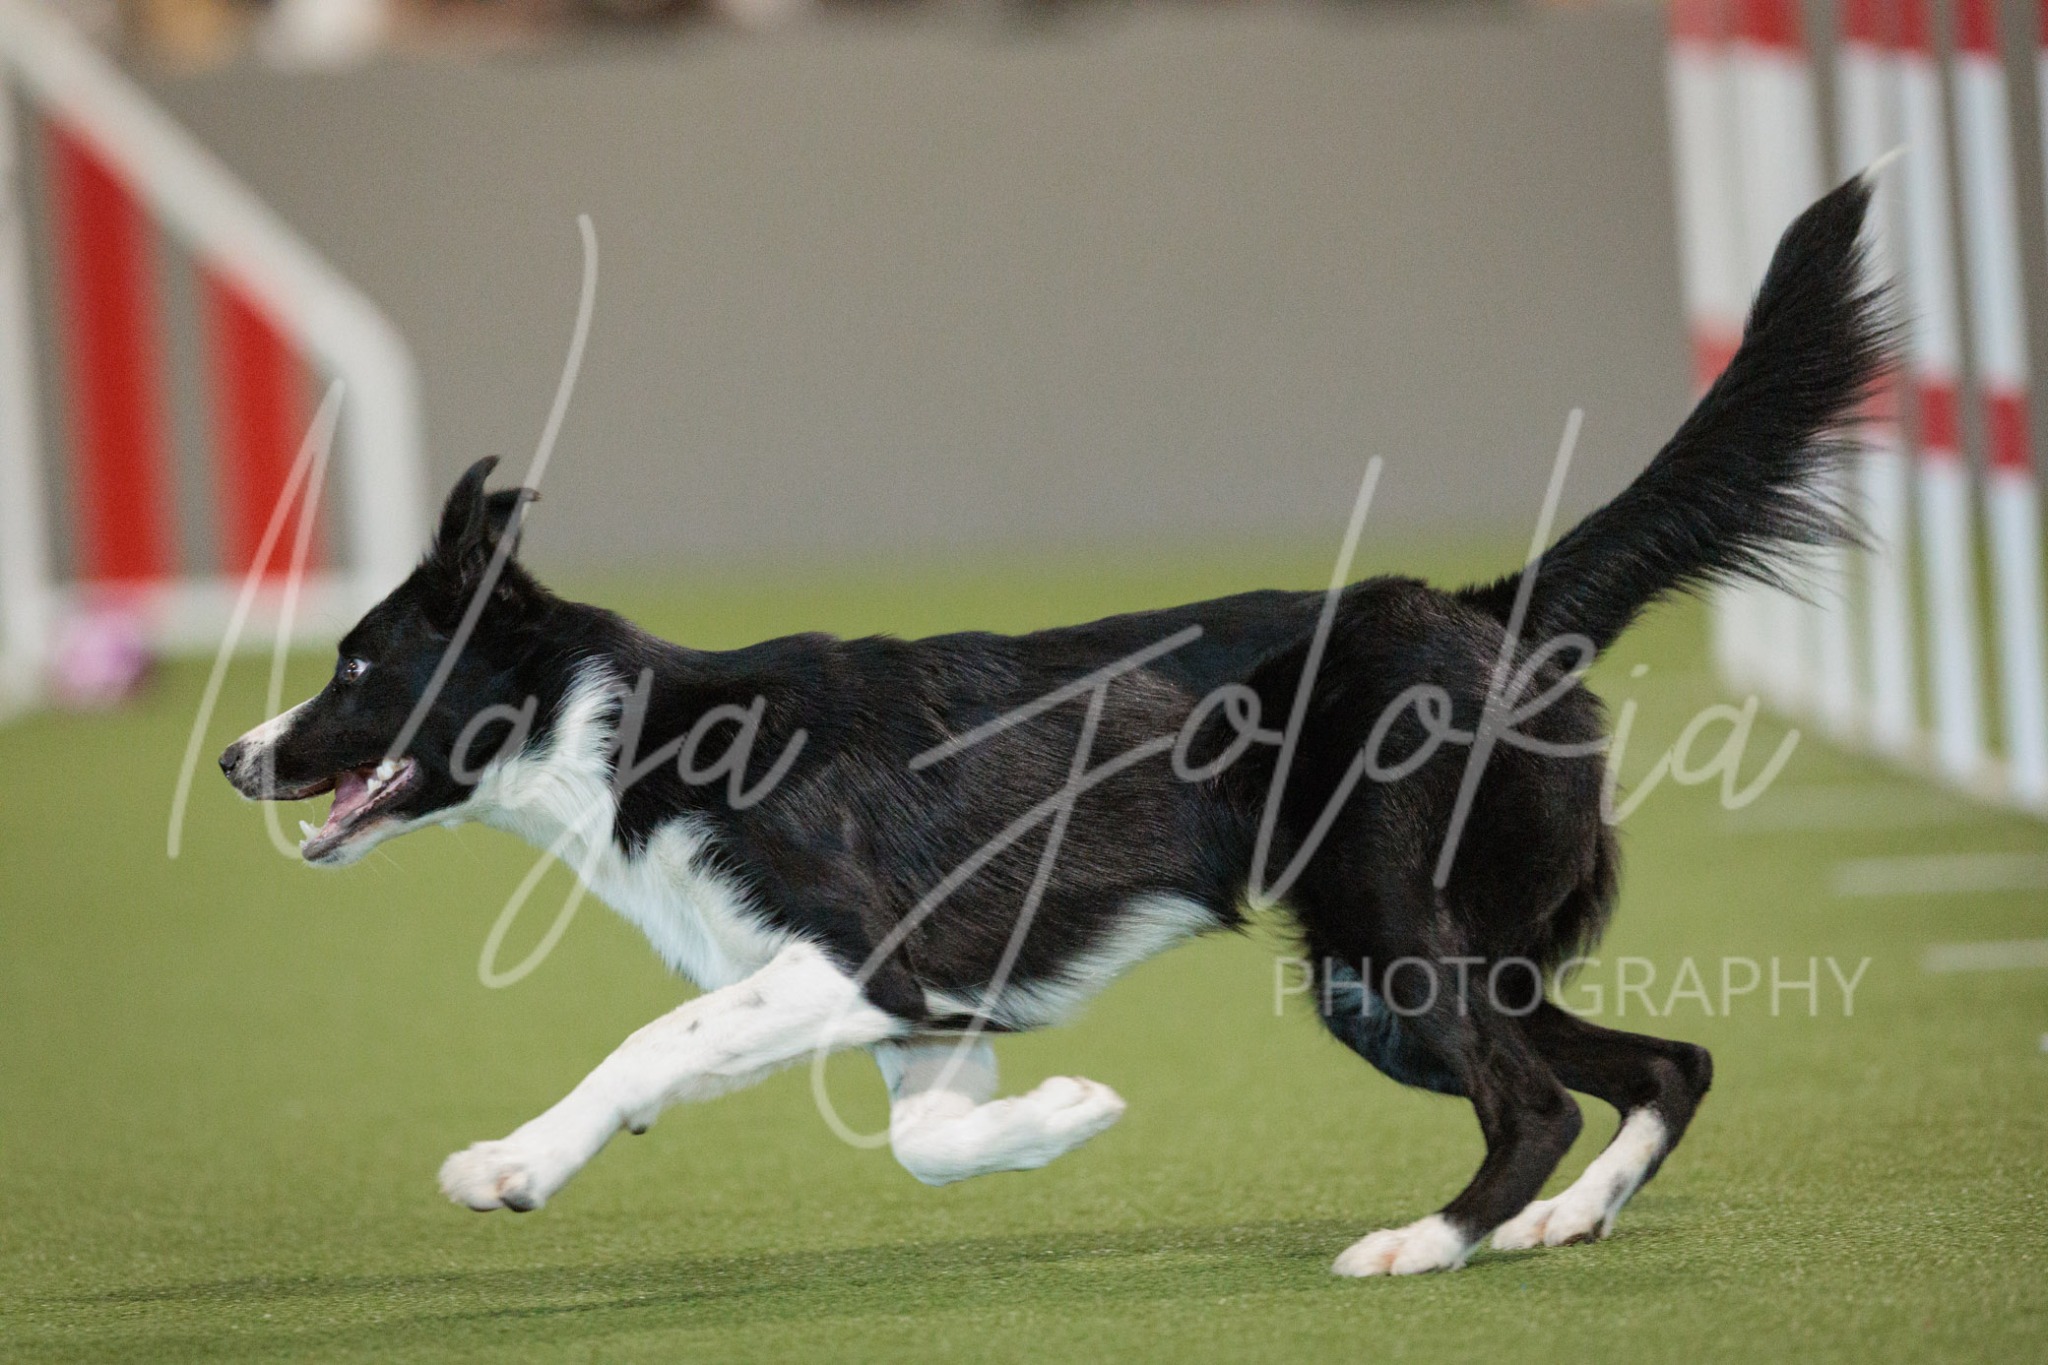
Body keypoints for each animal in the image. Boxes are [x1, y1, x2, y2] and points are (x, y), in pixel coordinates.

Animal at [220, 177, 1890, 1275]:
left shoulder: (854, 954)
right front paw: (1069, 1115)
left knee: (1535, 1098)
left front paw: (509, 1163)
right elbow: (916, 1142)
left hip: (1387, 936)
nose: (238, 757)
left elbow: (652, 1043)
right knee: (1666, 1063)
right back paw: (1564, 1219)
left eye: (356, 665)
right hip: (1416, 967)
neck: (634, 731)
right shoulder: (917, 1011)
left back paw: (1428, 1242)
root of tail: (1484, 603)